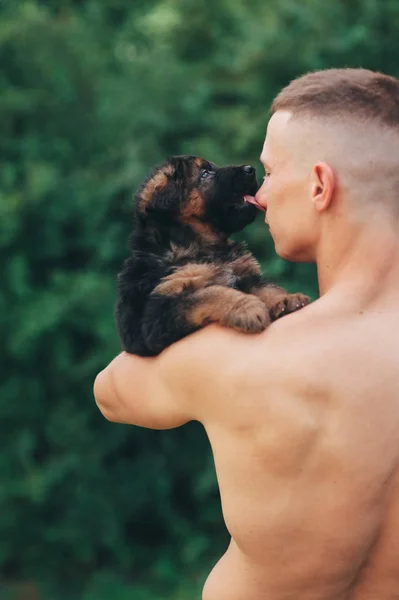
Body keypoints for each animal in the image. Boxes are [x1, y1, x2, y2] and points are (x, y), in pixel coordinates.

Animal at [115, 156, 310, 356]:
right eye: (205, 173)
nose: (250, 169)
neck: (201, 245)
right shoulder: (157, 314)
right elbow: (212, 293)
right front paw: (248, 308)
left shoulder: (246, 275)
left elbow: (267, 288)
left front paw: (286, 299)